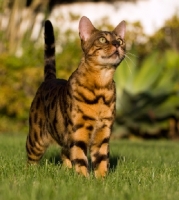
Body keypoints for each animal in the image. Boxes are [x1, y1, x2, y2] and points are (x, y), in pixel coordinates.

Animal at [25, 16, 125, 177]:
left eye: (120, 40)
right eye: (102, 39)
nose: (117, 44)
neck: (101, 88)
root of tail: (50, 79)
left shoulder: (103, 132)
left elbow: (102, 159)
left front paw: (102, 179)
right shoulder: (79, 130)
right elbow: (80, 158)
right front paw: (83, 178)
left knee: (64, 152)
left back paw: (66, 170)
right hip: (37, 137)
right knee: (31, 158)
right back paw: (31, 173)